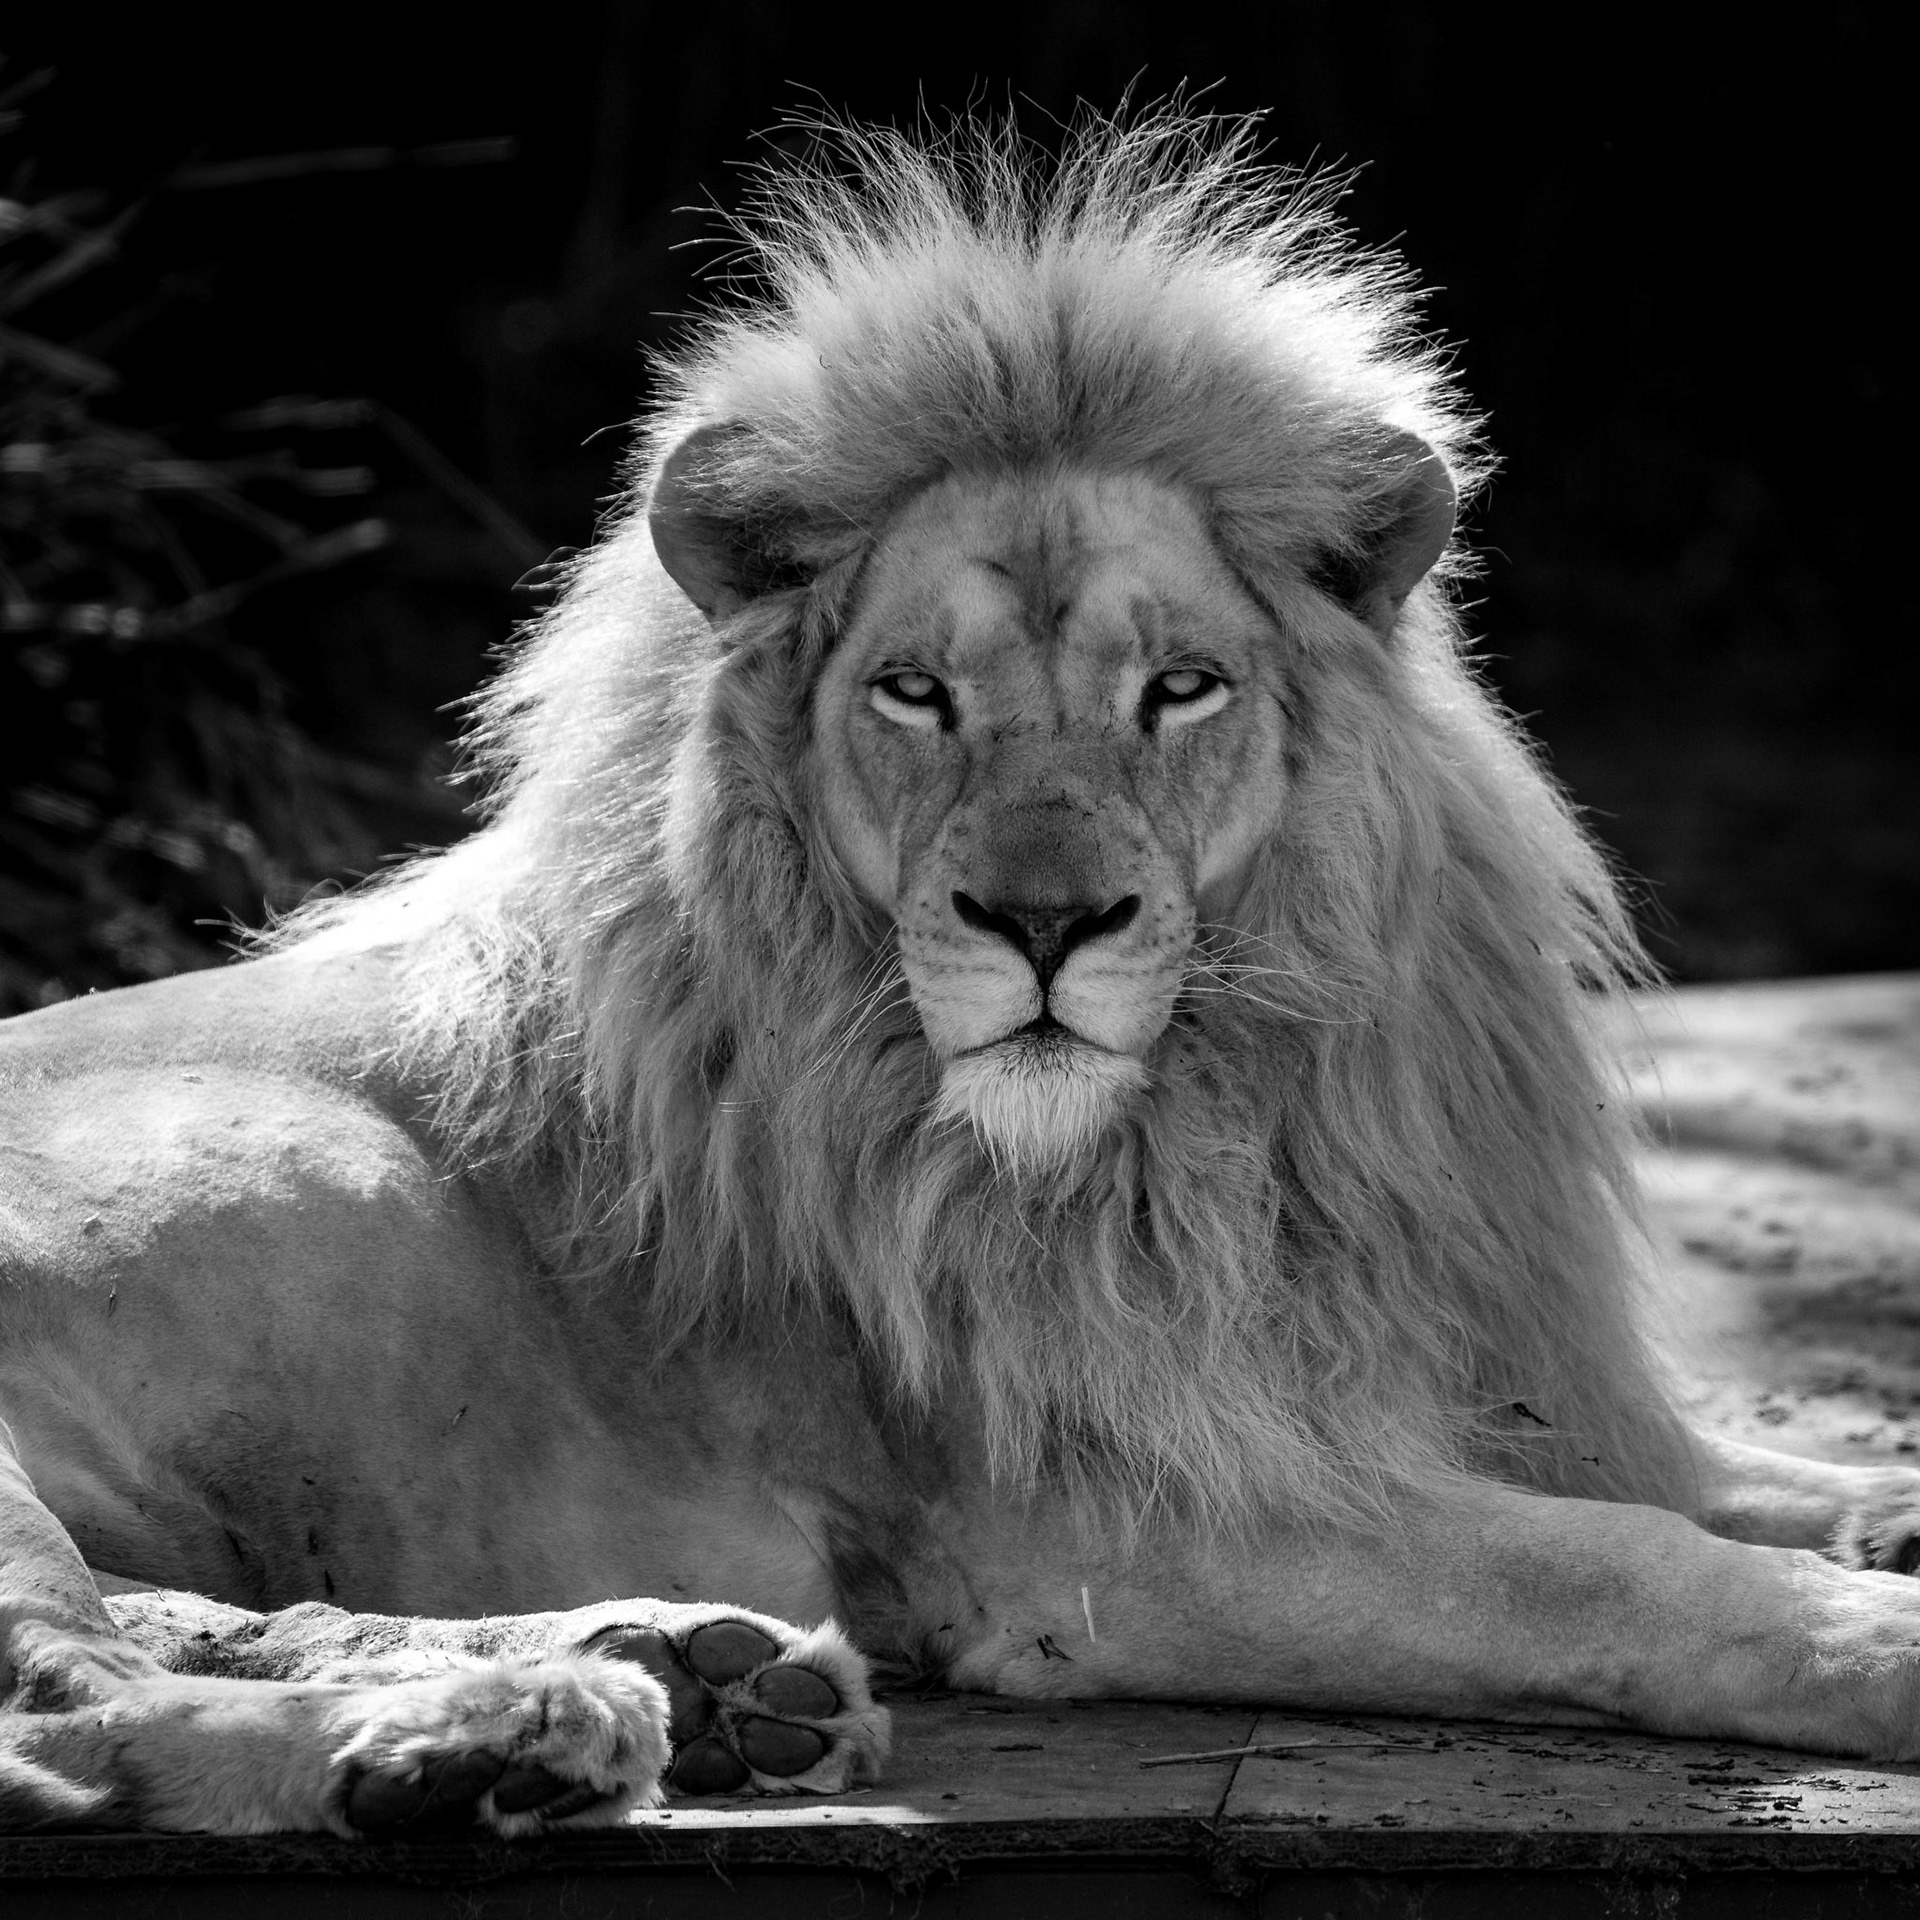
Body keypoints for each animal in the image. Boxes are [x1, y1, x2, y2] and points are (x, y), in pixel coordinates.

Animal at [5, 110, 1920, 1839]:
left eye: (1180, 690)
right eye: (917, 694)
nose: (1045, 926)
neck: (1229, 1123)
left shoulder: (1460, 1392)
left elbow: (1741, 1484)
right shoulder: (1107, 1527)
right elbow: (1632, 1571)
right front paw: (1879, 1636)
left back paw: (692, 1685)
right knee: (67, 1700)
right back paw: (498, 1739)